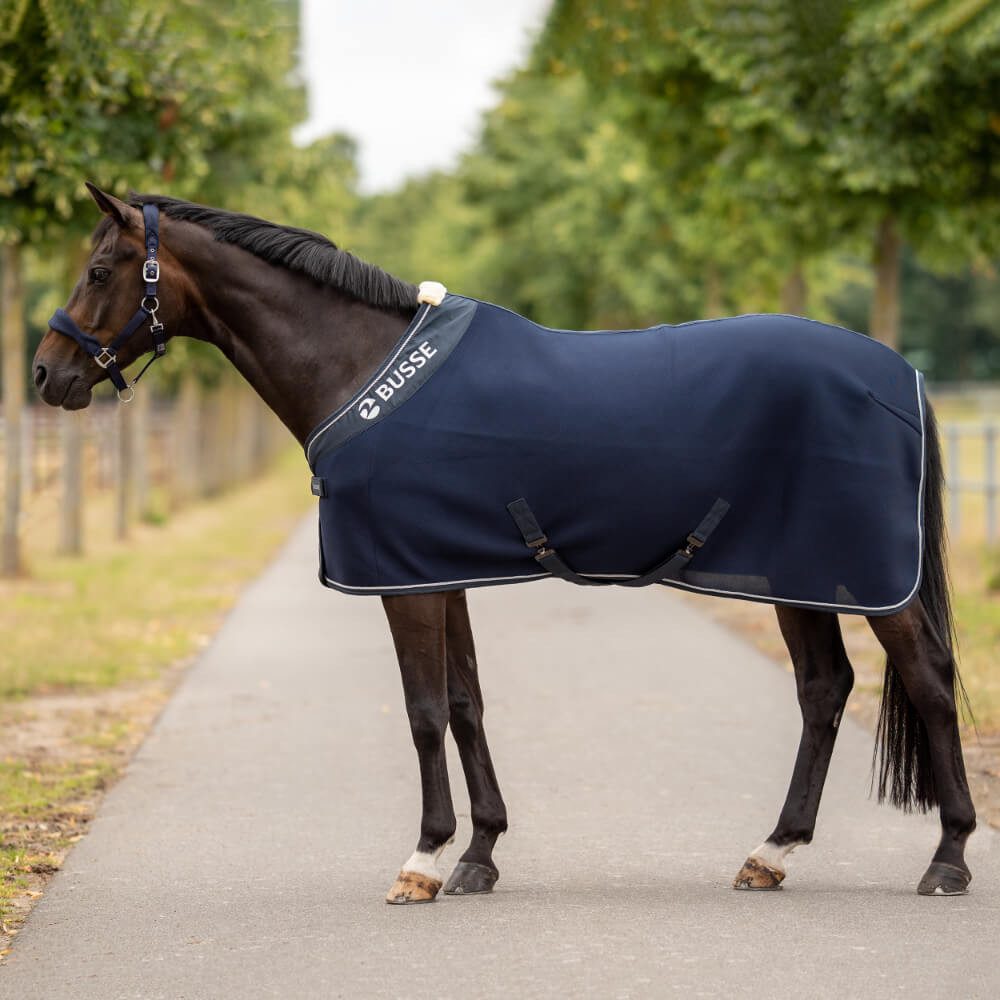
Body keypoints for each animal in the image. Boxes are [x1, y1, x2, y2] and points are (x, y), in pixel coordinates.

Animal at [32, 184, 977, 902]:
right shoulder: (434, 570)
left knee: (927, 679)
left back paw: (949, 858)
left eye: (100, 270)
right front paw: (479, 856)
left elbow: (421, 711)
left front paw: (422, 859)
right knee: (824, 690)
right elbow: (464, 703)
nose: (47, 373)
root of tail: (896, 373)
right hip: (794, 571)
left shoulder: (403, 581)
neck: (365, 368)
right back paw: (771, 852)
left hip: (861, 576)